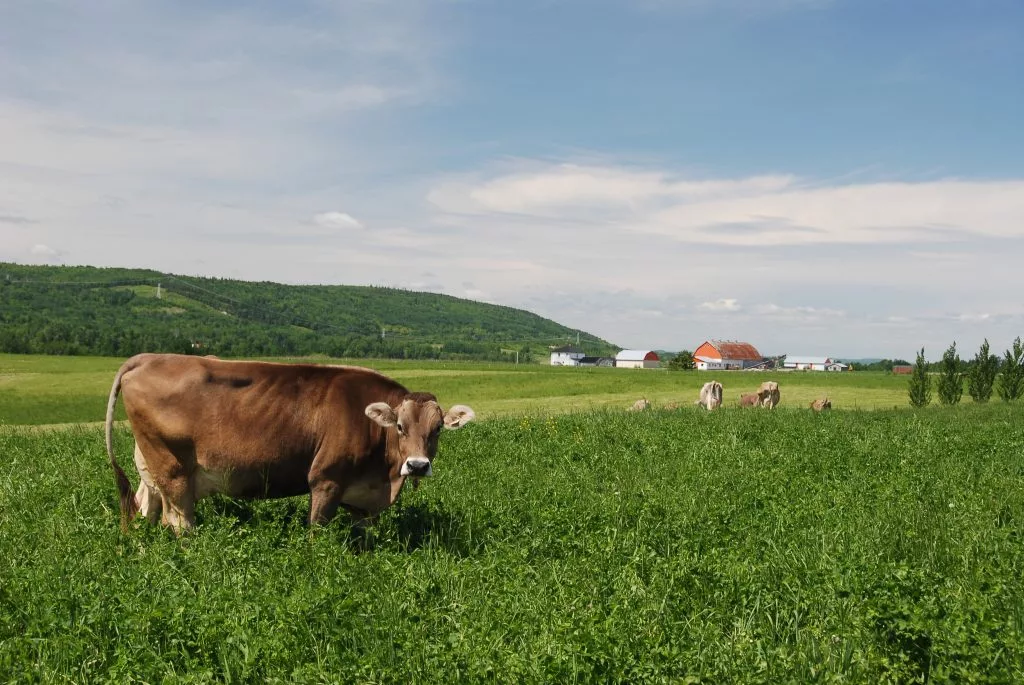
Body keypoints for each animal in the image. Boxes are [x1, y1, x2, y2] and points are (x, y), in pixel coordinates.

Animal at [104, 353, 475, 535]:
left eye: (438, 429)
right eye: (399, 426)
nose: (418, 465)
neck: (384, 479)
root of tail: (150, 357)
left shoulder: (365, 499)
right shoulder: (326, 479)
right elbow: (317, 532)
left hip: (150, 467)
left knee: (143, 508)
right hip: (174, 470)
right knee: (179, 523)